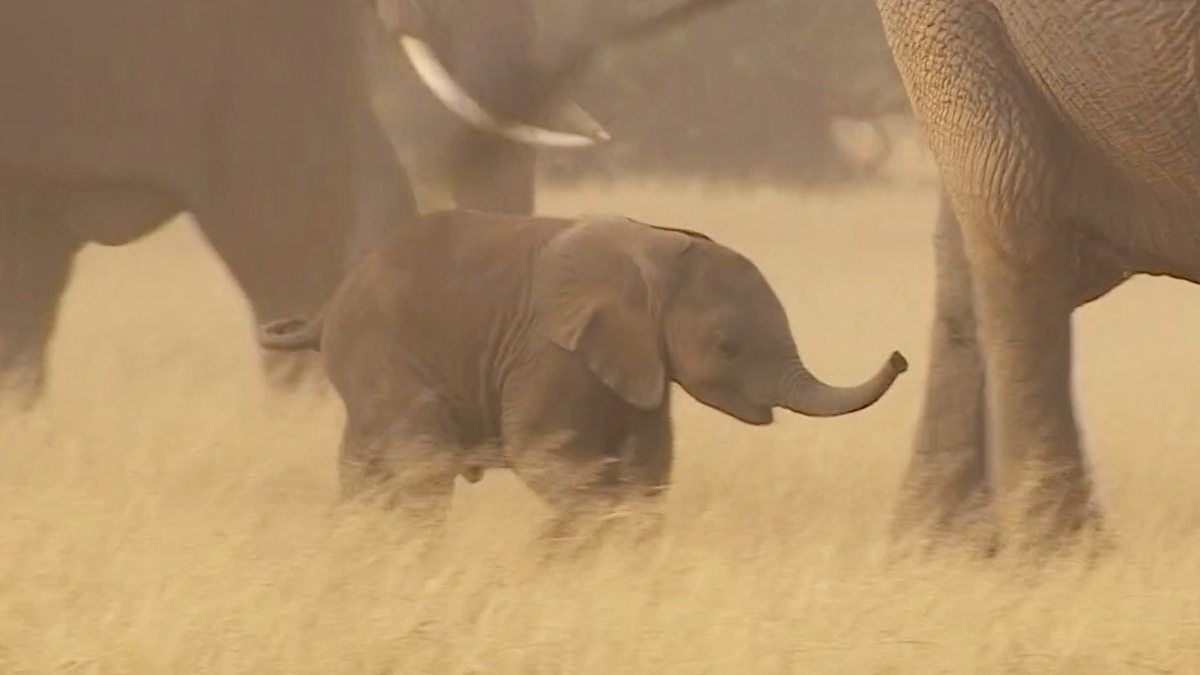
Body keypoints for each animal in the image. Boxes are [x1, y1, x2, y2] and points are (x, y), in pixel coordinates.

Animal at [259, 210, 908, 532]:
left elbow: (648, 472)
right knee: (423, 465)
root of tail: (326, 309)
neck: (656, 250)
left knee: (367, 469)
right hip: (382, 355)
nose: (902, 356)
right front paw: (556, 549)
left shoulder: (640, 364)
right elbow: (546, 455)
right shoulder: (549, 351)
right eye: (727, 348)